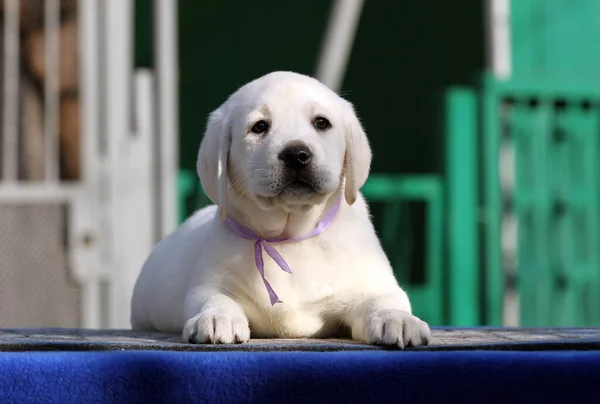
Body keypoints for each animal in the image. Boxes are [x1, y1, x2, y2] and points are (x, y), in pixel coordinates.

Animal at [131, 71, 432, 348]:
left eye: (321, 122)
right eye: (259, 127)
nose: (296, 154)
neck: (288, 237)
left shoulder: (371, 282)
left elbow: (385, 298)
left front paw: (397, 319)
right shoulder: (210, 281)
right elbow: (213, 297)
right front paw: (217, 317)